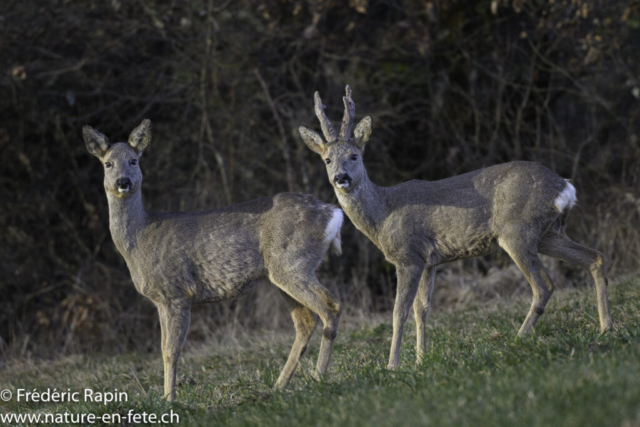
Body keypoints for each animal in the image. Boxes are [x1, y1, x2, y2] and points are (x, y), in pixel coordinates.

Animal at [85, 120, 344, 402]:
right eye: (108, 164)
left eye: (133, 160)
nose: (123, 182)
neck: (140, 238)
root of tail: (332, 213)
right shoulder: (161, 300)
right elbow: (165, 349)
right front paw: (166, 398)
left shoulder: (176, 292)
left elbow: (171, 351)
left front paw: (169, 400)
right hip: (281, 274)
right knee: (305, 322)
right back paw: (278, 386)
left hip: (293, 262)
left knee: (330, 306)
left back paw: (318, 377)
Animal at [300, 86, 616, 372]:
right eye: (327, 159)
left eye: (354, 155)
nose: (340, 177)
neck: (382, 214)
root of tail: (565, 187)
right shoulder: (429, 261)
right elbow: (422, 310)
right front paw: (421, 360)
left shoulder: (408, 256)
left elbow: (399, 312)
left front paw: (392, 366)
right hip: (549, 234)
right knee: (595, 257)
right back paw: (606, 328)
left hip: (517, 231)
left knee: (544, 285)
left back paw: (519, 338)